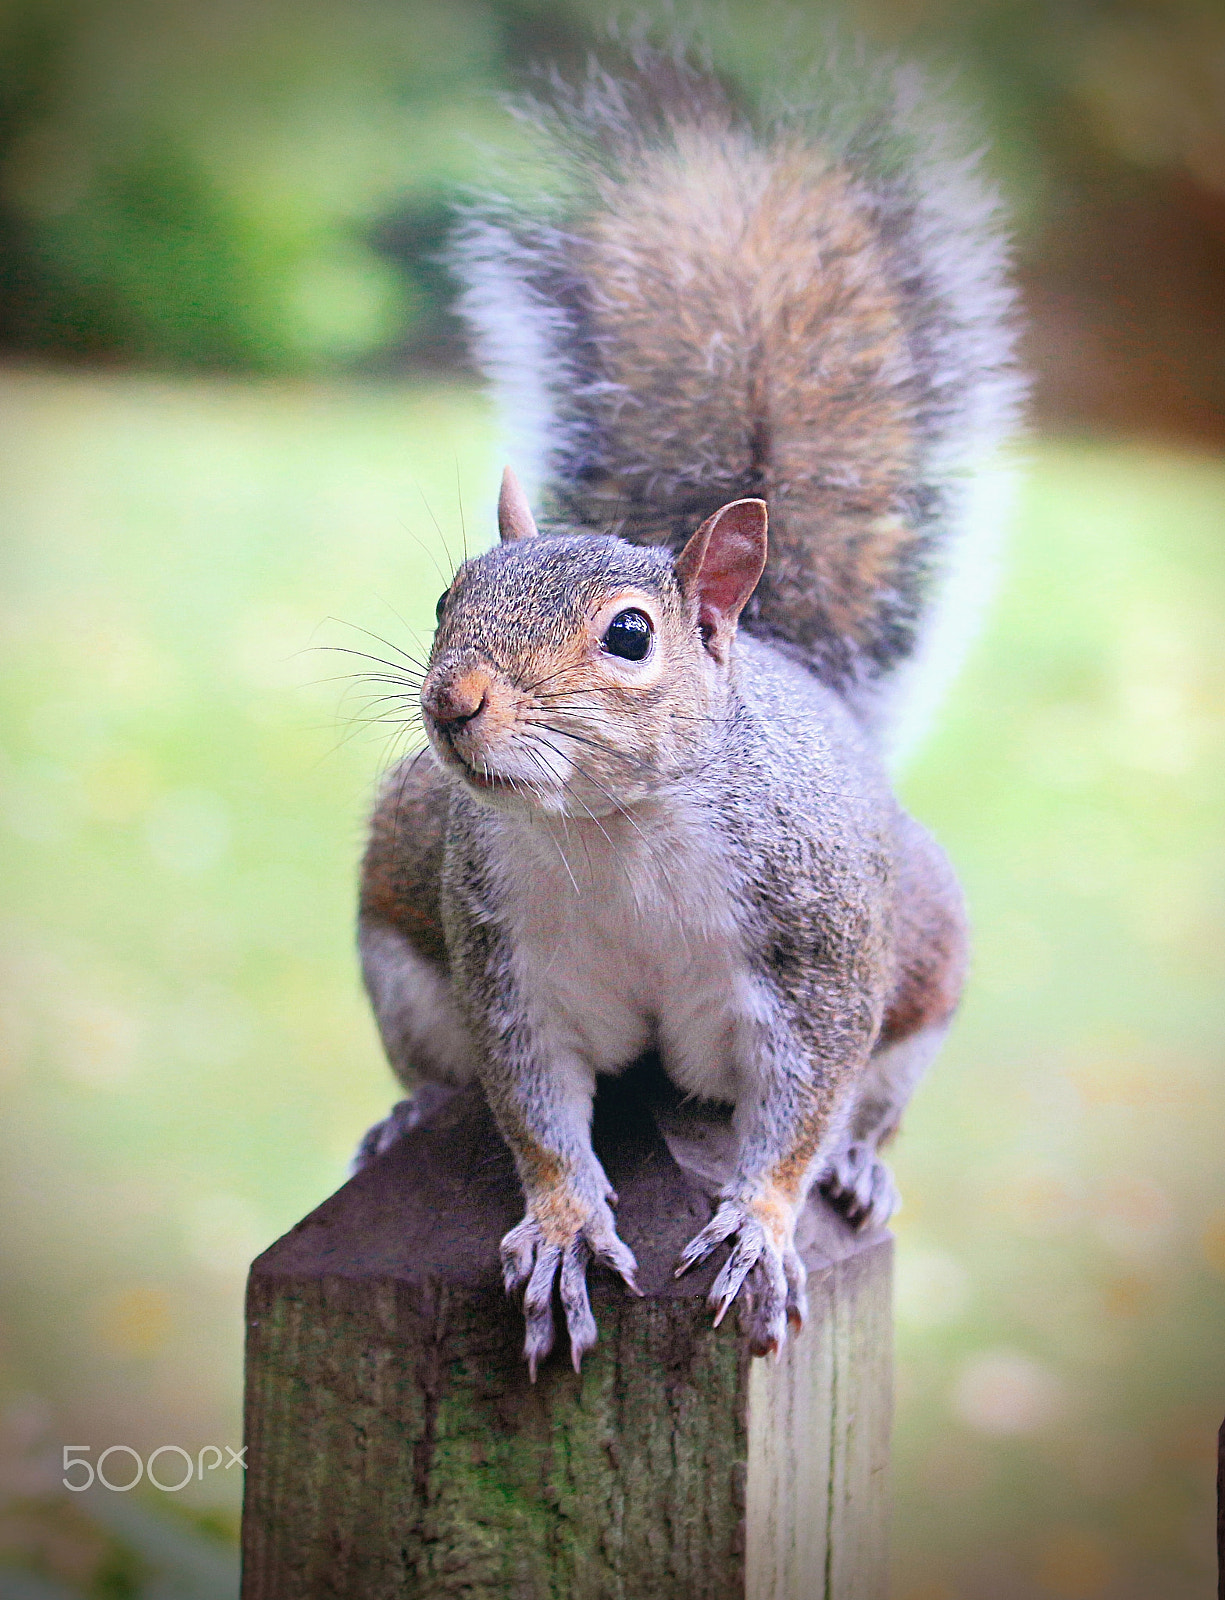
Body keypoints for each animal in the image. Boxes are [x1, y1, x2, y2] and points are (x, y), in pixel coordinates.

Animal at [355, 48, 1022, 1377]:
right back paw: (405, 1113)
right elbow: (535, 1107)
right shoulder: (508, 959)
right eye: (449, 594)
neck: (611, 830)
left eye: (628, 636)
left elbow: (802, 1102)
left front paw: (761, 1221)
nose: (451, 700)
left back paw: (862, 1164)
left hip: (922, 960)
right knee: (443, 1071)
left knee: (869, 1105)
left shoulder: (820, 953)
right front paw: (563, 1227)